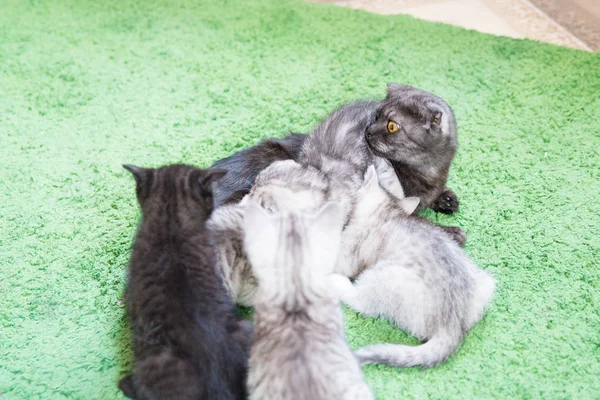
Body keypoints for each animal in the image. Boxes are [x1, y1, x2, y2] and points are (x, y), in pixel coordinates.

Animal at [330, 166, 494, 368]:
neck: (385, 214)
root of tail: (453, 326)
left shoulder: (347, 256)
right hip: (486, 281)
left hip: (383, 275)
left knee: (362, 302)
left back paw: (336, 282)